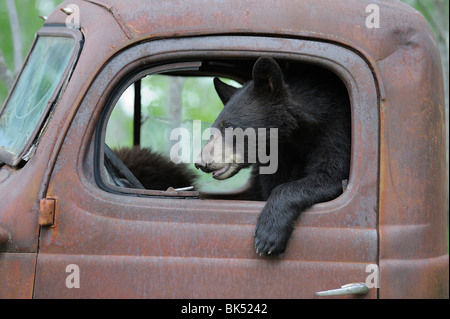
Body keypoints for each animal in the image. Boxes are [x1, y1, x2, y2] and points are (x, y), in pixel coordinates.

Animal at [195, 57, 350, 258]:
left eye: (228, 126)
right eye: (214, 127)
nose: (200, 162)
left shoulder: (336, 129)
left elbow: (331, 174)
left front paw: (267, 236)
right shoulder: (278, 157)